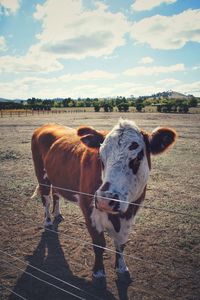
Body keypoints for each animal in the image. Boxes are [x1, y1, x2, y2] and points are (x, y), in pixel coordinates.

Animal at [31, 119, 177, 288]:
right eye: (101, 158)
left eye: (137, 158)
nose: (105, 200)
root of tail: (46, 125)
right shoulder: (89, 211)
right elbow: (99, 244)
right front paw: (99, 272)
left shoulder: (131, 215)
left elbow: (121, 244)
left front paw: (122, 268)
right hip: (41, 176)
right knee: (46, 199)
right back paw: (48, 221)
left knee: (56, 195)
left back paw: (58, 214)